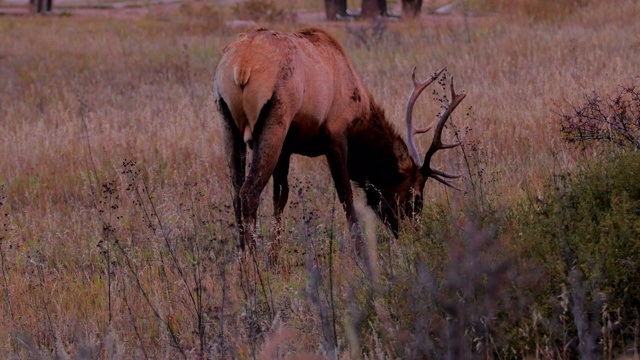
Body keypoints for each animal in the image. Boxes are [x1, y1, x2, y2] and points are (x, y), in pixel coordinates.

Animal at [215, 28, 464, 250]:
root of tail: (242, 66)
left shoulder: (287, 148)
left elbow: (280, 198)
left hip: (228, 123)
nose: (414, 235)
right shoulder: (336, 135)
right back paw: (254, 263)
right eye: (416, 198)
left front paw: (274, 258)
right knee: (249, 193)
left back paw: (243, 258)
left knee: (236, 195)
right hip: (275, 121)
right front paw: (361, 253)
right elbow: (346, 197)